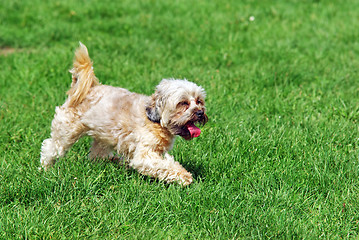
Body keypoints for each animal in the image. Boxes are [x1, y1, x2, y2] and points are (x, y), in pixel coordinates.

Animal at [40, 43, 208, 186]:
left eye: (199, 101)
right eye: (183, 103)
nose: (200, 113)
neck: (155, 121)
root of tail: (86, 88)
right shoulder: (144, 155)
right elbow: (164, 166)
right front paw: (184, 176)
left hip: (103, 137)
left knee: (96, 156)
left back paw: (117, 161)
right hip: (67, 131)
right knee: (51, 147)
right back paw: (45, 169)